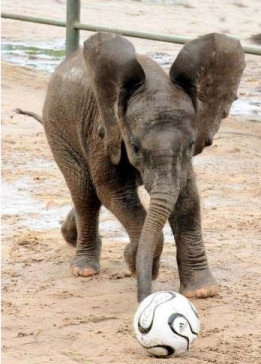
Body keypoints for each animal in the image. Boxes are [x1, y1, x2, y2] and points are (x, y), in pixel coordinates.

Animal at [34, 32, 244, 302]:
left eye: (191, 144)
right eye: (134, 146)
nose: (145, 297)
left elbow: (188, 199)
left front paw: (202, 291)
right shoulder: (104, 132)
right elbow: (114, 192)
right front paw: (134, 262)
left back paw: (69, 236)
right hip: (57, 129)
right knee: (85, 193)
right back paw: (84, 269)